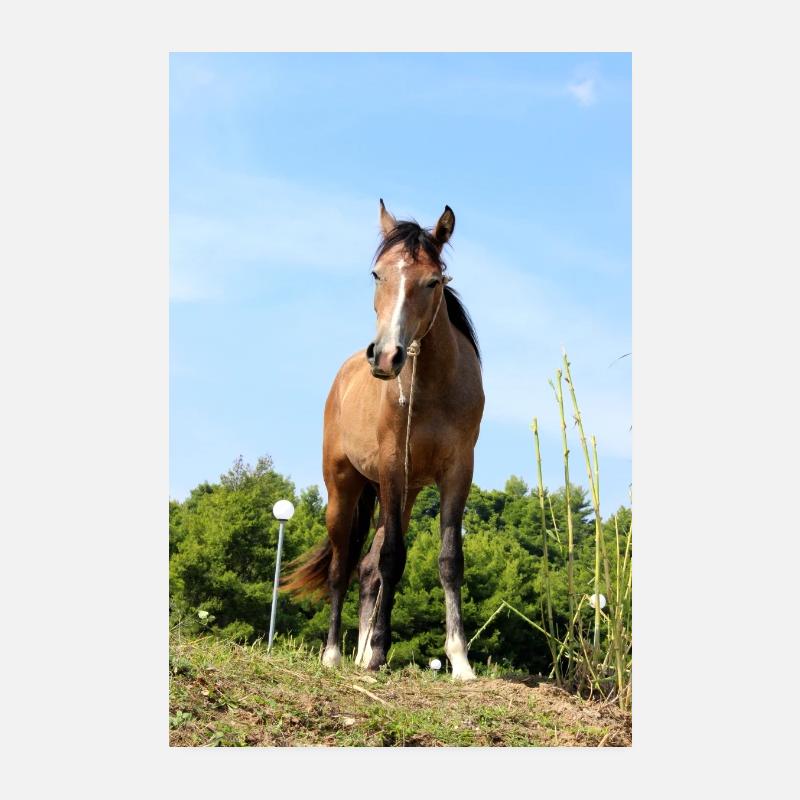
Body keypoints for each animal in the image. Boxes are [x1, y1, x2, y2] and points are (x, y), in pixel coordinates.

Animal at [282, 200, 483, 680]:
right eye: (377, 274)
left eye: (433, 281)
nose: (386, 356)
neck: (431, 387)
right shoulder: (393, 468)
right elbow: (393, 559)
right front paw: (377, 654)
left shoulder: (457, 472)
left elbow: (449, 560)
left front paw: (460, 660)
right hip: (345, 489)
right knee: (343, 568)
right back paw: (336, 654)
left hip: (404, 494)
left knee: (367, 568)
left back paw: (357, 652)